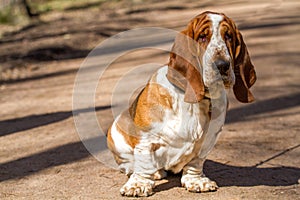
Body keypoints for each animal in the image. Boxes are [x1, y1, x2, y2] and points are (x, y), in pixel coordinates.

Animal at [106, 11, 256, 197]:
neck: (197, 101)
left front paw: (197, 181)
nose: (222, 65)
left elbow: (195, 163)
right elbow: (144, 162)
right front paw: (137, 184)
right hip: (115, 134)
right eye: (202, 37)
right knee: (129, 164)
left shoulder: (206, 143)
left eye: (228, 36)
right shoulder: (146, 139)